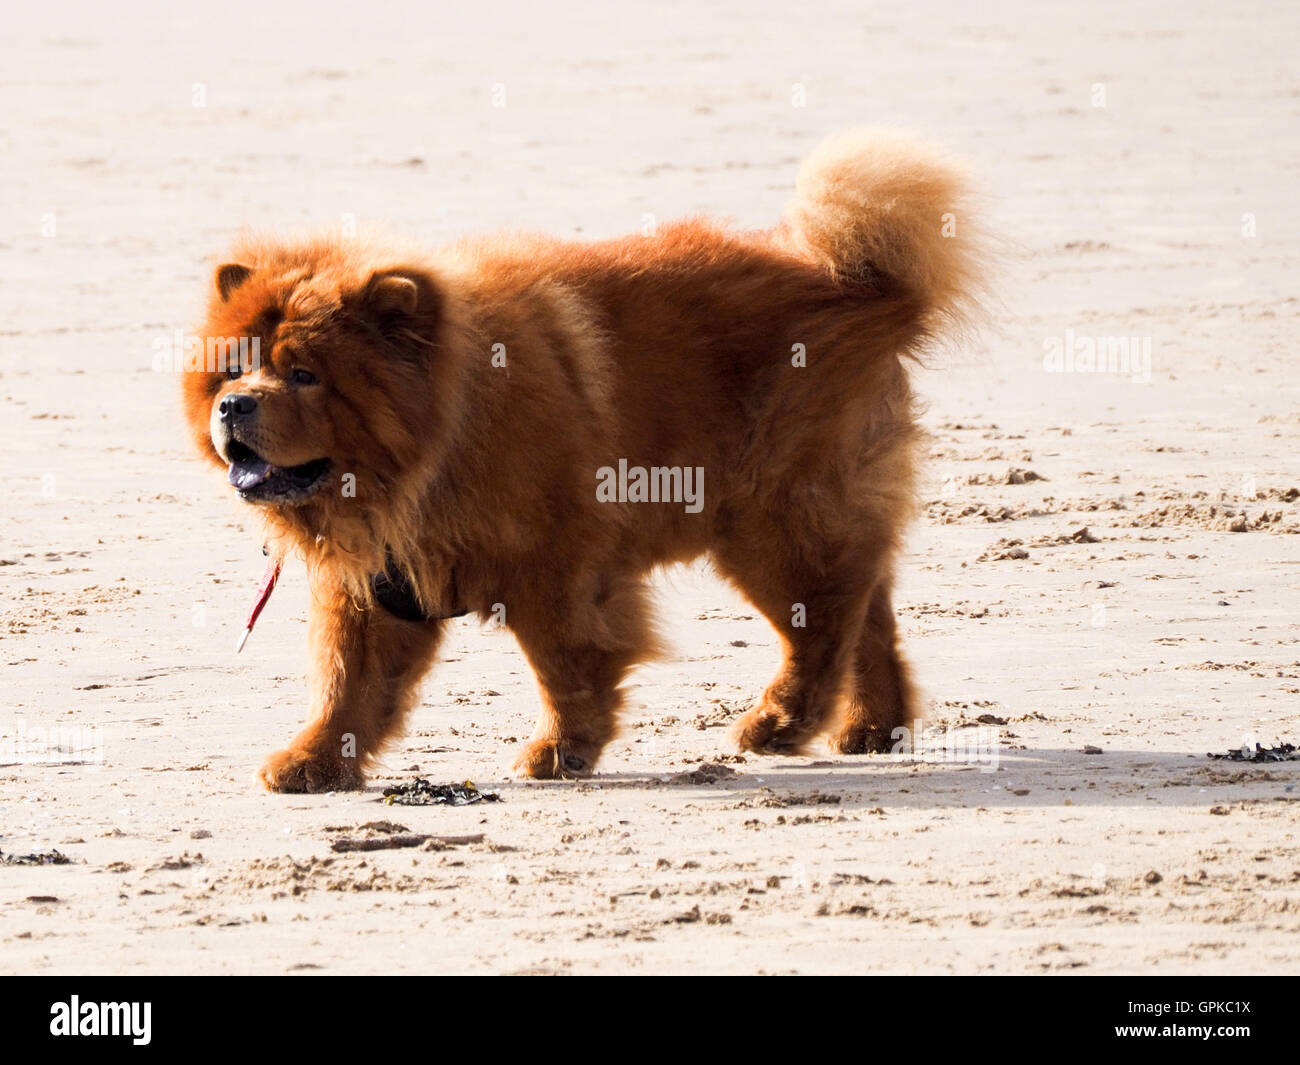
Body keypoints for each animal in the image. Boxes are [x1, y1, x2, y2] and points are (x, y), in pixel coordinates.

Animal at [180, 129, 977, 790]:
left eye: (303, 374)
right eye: (235, 370)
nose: (235, 406)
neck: (426, 456)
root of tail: (863, 288)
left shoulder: (553, 571)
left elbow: (566, 665)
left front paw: (561, 751)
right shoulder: (371, 588)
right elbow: (347, 685)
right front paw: (313, 761)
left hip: (772, 522)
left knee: (825, 624)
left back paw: (780, 723)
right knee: (866, 614)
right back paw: (870, 728)